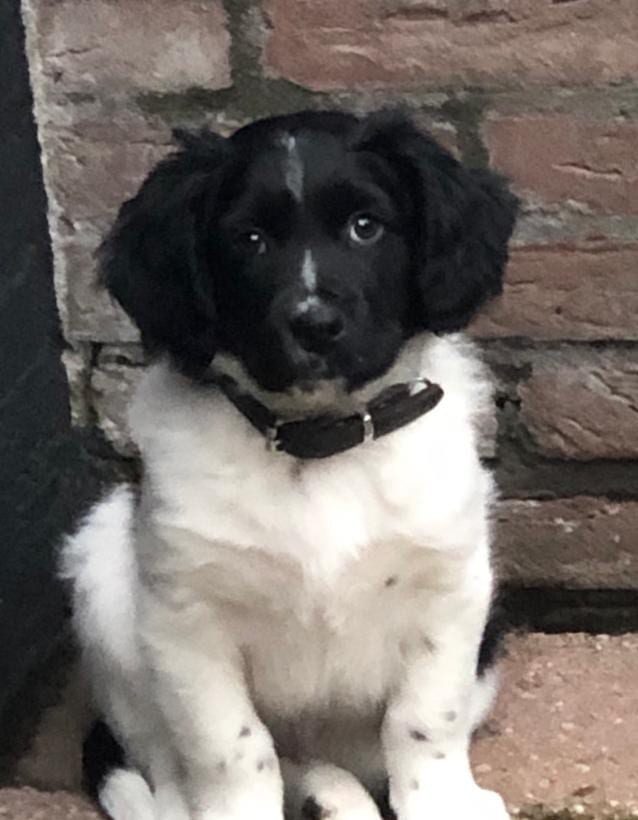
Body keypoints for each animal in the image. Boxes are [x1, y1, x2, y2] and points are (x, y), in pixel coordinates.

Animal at [61, 109, 518, 820]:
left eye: (366, 226)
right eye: (249, 240)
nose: (314, 323)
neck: (319, 445)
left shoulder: (450, 590)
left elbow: (423, 720)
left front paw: (443, 804)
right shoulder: (185, 618)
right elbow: (231, 745)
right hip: (103, 567)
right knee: (175, 764)